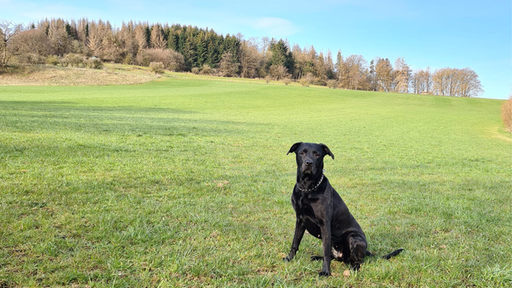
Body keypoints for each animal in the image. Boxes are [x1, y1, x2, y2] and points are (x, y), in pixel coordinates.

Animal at [282, 142, 402, 276]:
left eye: (317, 154)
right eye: (302, 152)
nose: (309, 163)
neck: (307, 189)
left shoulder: (324, 223)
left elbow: (325, 251)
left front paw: (325, 272)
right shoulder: (300, 220)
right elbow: (295, 243)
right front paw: (289, 259)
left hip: (352, 237)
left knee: (357, 262)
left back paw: (353, 269)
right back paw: (317, 257)